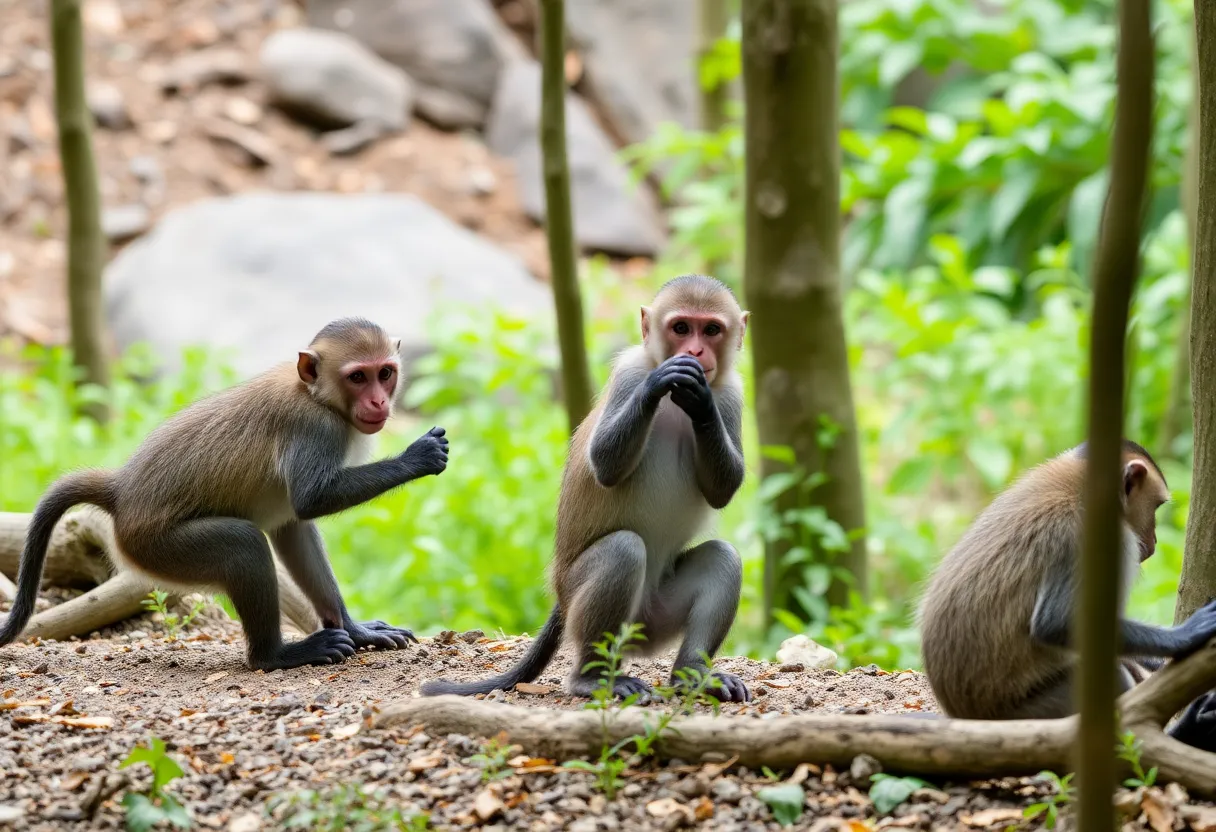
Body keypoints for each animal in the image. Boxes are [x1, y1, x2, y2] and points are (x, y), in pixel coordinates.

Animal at [0, 316, 449, 671]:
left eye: (385, 373)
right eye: (358, 376)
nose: (377, 401)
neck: (316, 395)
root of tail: (122, 490)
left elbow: (293, 528)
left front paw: (354, 629)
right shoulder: (314, 428)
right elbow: (311, 500)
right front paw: (418, 457)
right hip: (156, 546)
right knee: (243, 544)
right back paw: (273, 656)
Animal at [423, 274, 753, 700]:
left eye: (711, 330)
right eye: (681, 327)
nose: (695, 351)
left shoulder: (730, 393)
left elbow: (722, 490)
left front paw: (700, 402)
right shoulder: (629, 372)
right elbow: (605, 464)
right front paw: (659, 383)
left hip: (655, 618)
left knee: (721, 558)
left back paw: (691, 674)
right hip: (577, 596)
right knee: (622, 551)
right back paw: (590, 677)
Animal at [914, 437, 1216, 744]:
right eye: (1155, 506)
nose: (1153, 541)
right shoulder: (1094, 538)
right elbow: (1057, 624)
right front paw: (1185, 636)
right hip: (1033, 712)